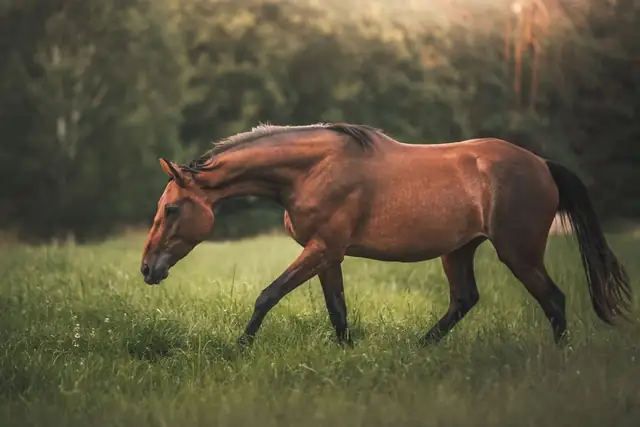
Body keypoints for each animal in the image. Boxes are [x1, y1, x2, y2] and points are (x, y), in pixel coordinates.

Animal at [140, 122, 631, 347]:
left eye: (171, 208)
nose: (147, 269)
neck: (312, 170)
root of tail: (542, 165)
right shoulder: (329, 254)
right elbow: (337, 309)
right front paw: (347, 353)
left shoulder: (322, 248)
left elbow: (268, 294)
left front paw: (240, 348)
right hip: (458, 250)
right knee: (464, 299)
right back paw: (420, 348)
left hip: (518, 252)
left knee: (554, 300)